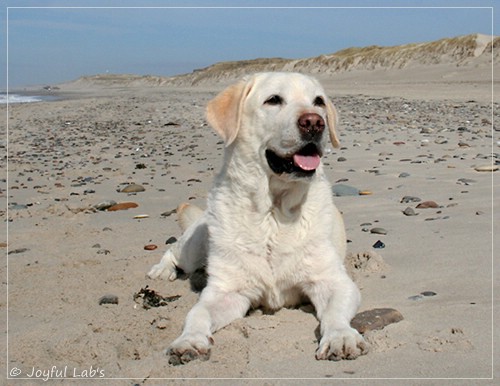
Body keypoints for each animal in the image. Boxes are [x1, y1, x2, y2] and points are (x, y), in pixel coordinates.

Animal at [147, 72, 368, 364]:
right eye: (273, 100)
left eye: (318, 101)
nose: (314, 122)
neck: (273, 212)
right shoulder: (227, 290)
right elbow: (198, 313)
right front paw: (189, 341)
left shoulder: (332, 280)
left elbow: (335, 312)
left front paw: (340, 337)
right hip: (194, 246)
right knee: (174, 251)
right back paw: (162, 270)